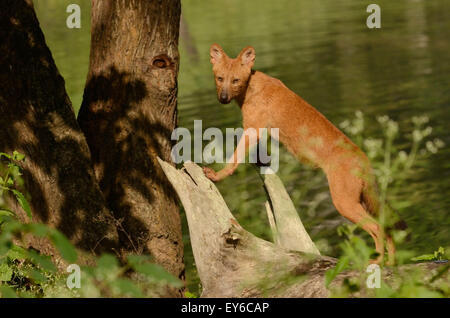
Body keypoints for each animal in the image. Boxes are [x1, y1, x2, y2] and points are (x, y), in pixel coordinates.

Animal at [204, 43, 398, 264]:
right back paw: (391, 264)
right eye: (220, 78)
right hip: (362, 201)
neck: (250, 87)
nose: (223, 98)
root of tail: (363, 156)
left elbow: (234, 159)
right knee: (387, 230)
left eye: (235, 80)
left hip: (344, 203)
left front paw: (216, 175)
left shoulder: (252, 130)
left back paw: (376, 262)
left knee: (377, 229)